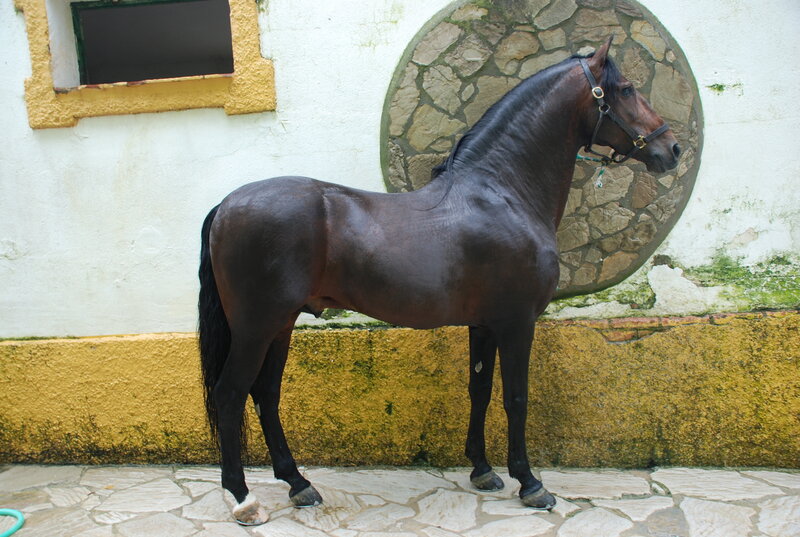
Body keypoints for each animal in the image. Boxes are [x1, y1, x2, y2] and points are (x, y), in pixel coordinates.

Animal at [197, 37, 680, 525]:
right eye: (626, 88)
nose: (673, 148)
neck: (503, 193)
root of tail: (226, 205)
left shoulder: (485, 325)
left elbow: (480, 390)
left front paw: (483, 471)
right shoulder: (518, 322)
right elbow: (516, 399)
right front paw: (531, 484)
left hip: (280, 325)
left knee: (265, 394)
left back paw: (298, 484)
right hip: (257, 327)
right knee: (230, 394)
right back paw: (243, 498)